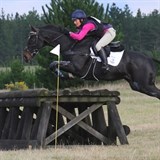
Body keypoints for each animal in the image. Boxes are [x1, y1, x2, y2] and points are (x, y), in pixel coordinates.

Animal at [23, 24, 160, 99]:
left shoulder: (76, 67)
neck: (72, 45)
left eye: (32, 39)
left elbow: (53, 64)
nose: (25, 56)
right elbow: (53, 64)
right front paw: (64, 75)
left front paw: (61, 74)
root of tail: (149, 58)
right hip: (137, 85)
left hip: (145, 84)